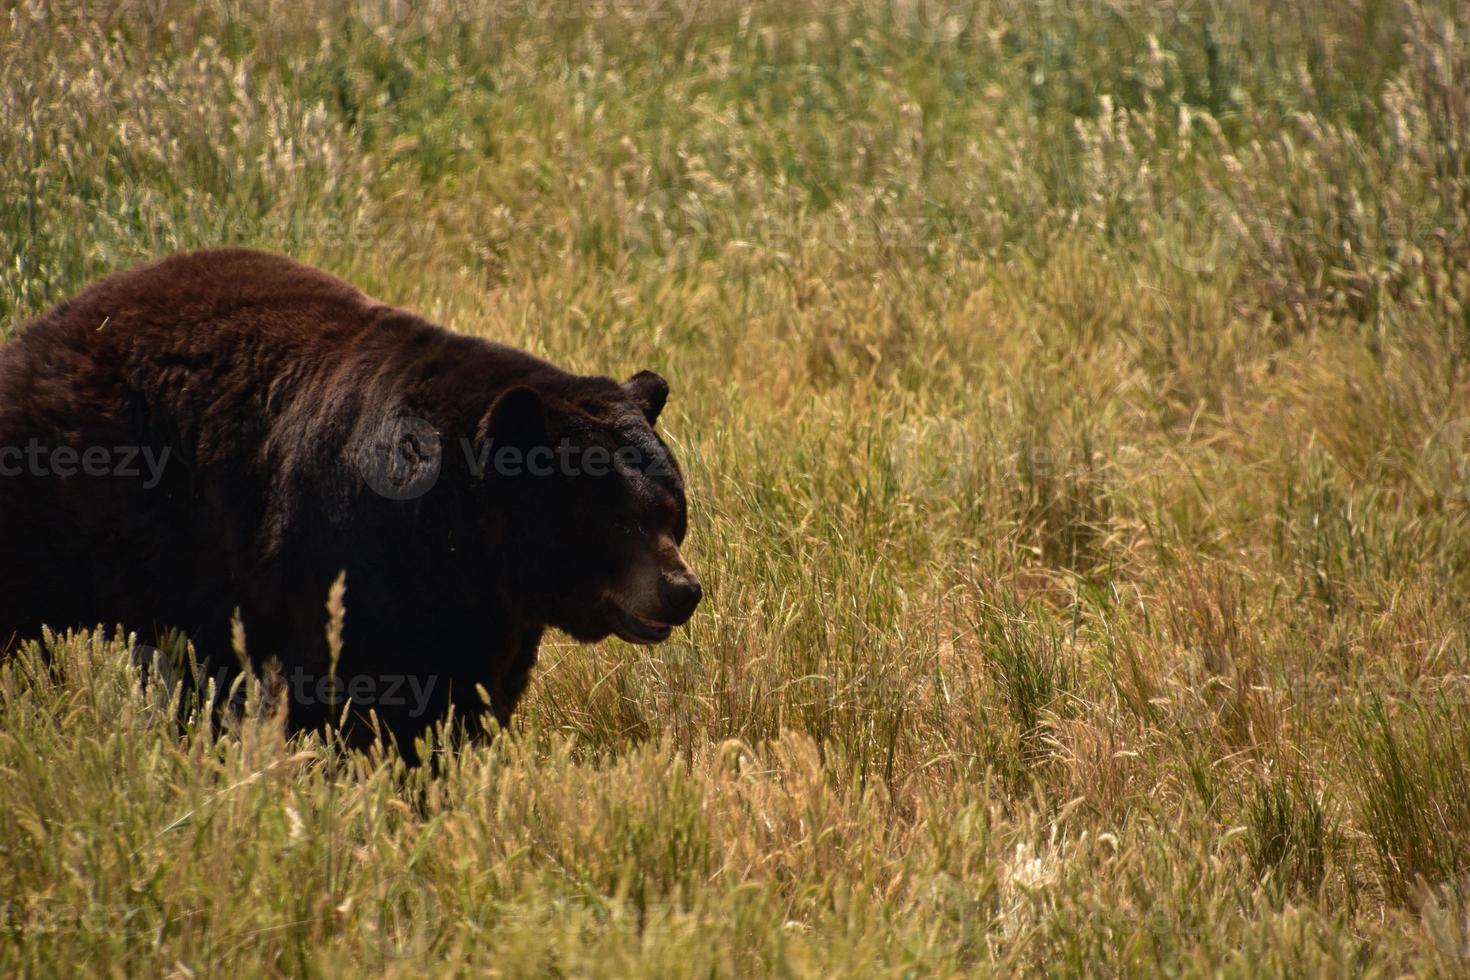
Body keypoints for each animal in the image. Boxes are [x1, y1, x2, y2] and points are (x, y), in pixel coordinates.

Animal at [0, 249, 699, 758]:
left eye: (673, 512)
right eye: (615, 519)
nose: (682, 590)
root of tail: (38, 331)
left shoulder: (482, 616)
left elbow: (465, 701)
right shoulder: (346, 558)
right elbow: (364, 697)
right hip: (63, 509)